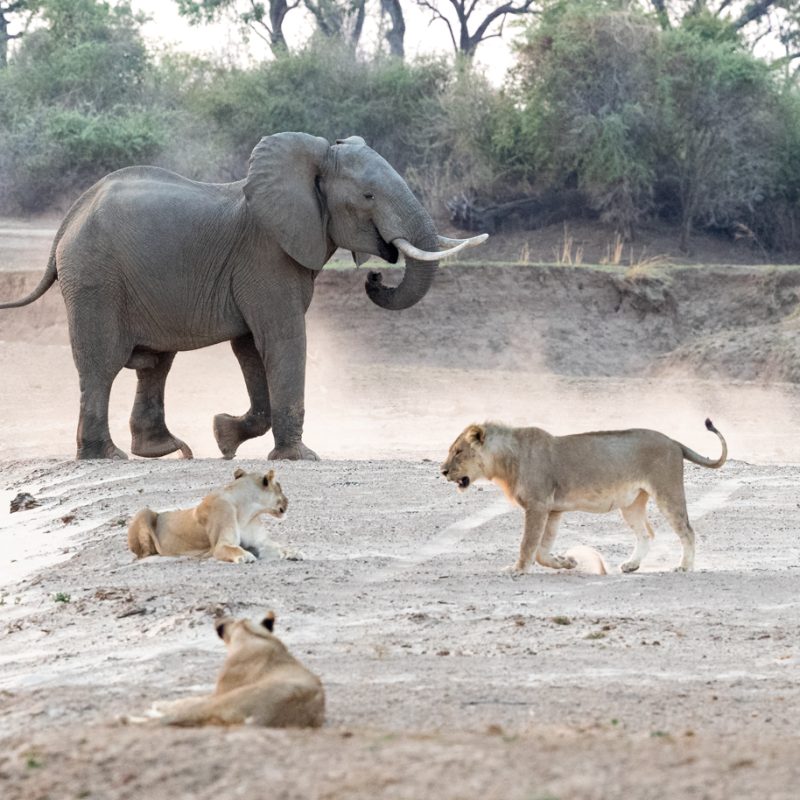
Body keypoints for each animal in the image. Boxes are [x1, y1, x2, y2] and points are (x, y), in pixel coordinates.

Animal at [0, 132, 487, 460]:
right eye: (368, 196)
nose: (374, 278)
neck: (310, 162)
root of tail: (69, 217)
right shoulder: (266, 256)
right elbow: (282, 340)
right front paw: (300, 458)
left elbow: (252, 348)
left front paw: (224, 437)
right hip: (95, 279)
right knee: (103, 365)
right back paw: (108, 456)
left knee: (155, 364)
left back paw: (166, 450)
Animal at [127, 468, 297, 564]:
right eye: (280, 487)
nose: (288, 500)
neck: (247, 511)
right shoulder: (220, 545)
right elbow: (232, 549)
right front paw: (245, 556)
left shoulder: (260, 543)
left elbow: (279, 546)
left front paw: (294, 552)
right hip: (143, 511)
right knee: (144, 554)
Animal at [441, 419, 727, 574]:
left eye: (458, 451)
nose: (442, 471)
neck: (505, 462)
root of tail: (673, 441)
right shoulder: (553, 509)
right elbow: (542, 549)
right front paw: (565, 562)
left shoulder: (538, 505)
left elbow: (528, 544)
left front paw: (518, 569)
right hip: (631, 504)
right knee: (646, 534)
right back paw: (631, 565)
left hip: (667, 491)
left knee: (687, 530)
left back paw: (684, 566)